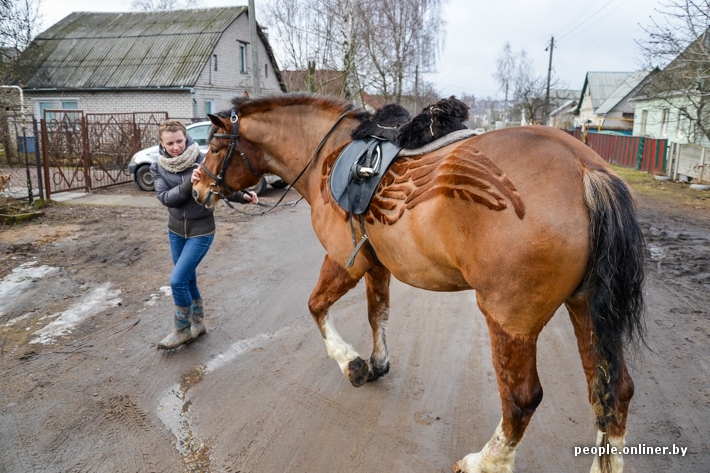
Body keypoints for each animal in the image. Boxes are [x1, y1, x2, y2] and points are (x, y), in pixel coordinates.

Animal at [192, 93, 648, 472]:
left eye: (214, 147)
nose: (196, 186)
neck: (327, 152)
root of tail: (585, 169)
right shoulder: (375, 265)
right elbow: (378, 313)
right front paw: (377, 363)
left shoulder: (344, 261)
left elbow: (316, 306)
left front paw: (351, 363)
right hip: (586, 306)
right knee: (613, 390)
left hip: (510, 320)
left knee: (522, 398)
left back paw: (486, 461)